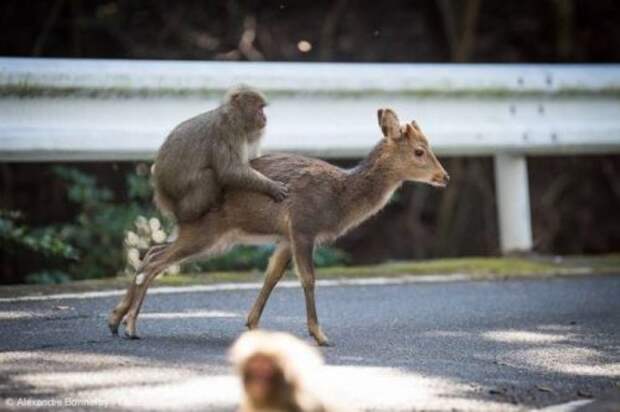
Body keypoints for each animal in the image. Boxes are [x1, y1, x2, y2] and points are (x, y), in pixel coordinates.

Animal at [106, 108, 446, 346]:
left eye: (429, 146)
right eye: (419, 151)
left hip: (208, 236)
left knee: (151, 252)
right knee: (155, 261)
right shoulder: (303, 225)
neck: (339, 198)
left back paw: (114, 320)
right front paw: (320, 335)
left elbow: (271, 276)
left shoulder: (284, 237)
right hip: (206, 231)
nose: (445, 176)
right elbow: (308, 278)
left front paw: (252, 324)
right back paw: (131, 326)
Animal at [155, 85, 290, 224]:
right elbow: (229, 170)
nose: (265, 118)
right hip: (178, 191)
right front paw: (271, 186)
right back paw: (188, 214)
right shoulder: (228, 130)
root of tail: (161, 188)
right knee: (208, 176)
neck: (238, 119)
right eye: (259, 108)